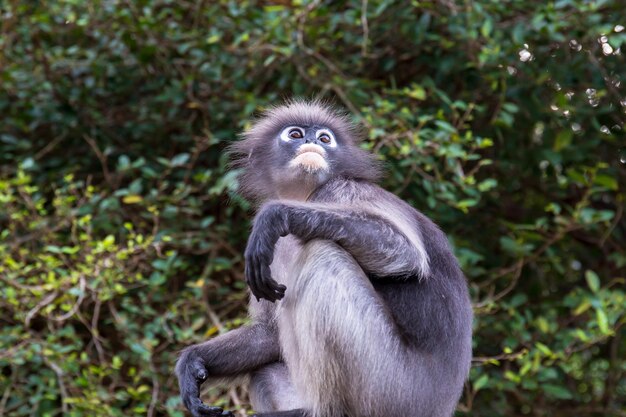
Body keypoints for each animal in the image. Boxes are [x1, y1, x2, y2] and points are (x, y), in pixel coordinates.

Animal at [173, 100, 470, 416]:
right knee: (263, 371)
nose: (313, 141)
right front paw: (193, 361)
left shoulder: (342, 189)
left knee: (323, 253)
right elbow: (269, 333)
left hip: (392, 388)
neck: (304, 196)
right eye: (295, 134)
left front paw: (276, 216)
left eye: (325, 138)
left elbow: (405, 253)